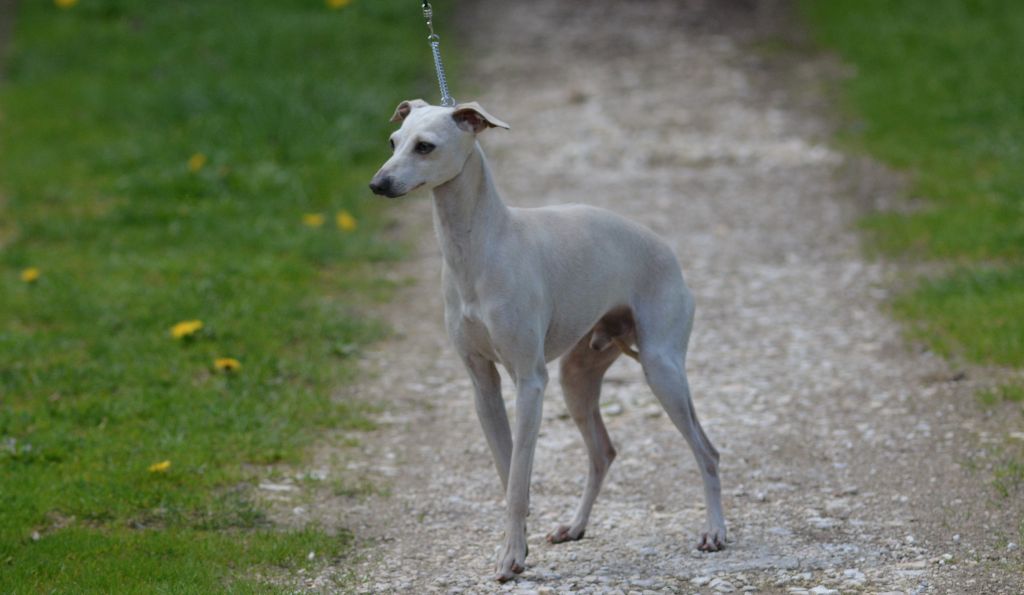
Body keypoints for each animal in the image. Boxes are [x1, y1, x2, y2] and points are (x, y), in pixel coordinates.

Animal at [372, 98, 724, 581]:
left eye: (425, 146)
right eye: (393, 142)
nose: (377, 184)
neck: (478, 250)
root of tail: (668, 251)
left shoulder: (529, 381)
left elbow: (519, 478)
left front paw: (511, 557)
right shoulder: (483, 385)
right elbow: (510, 475)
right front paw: (517, 545)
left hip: (662, 368)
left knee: (707, 451)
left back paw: (715, 532)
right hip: (577, 376)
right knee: (603, 452)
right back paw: (574, 527)